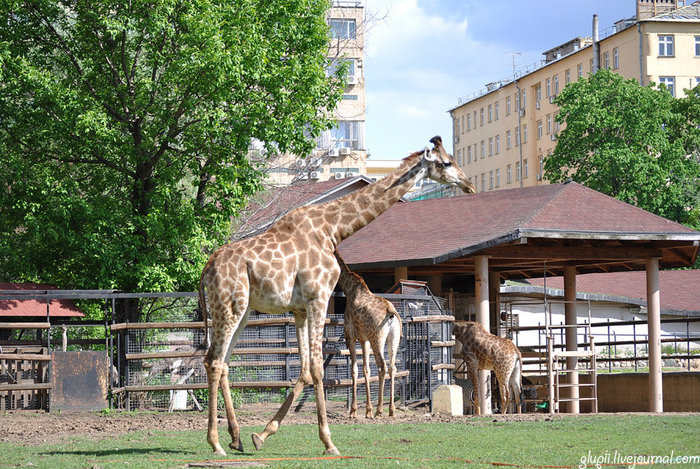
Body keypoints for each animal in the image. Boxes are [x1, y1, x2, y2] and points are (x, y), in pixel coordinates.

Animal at [334, 250, 402, 418]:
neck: (350, 289)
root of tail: (390, 312)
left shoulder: (351, 335)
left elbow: (354, 370)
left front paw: (354, 411)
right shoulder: (364, 339)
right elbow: (366, 370)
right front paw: (367, 410)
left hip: (377, 338)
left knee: (382, 366)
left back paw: (379, 410)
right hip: (393, 339)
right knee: (392, 367)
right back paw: (391, 410)